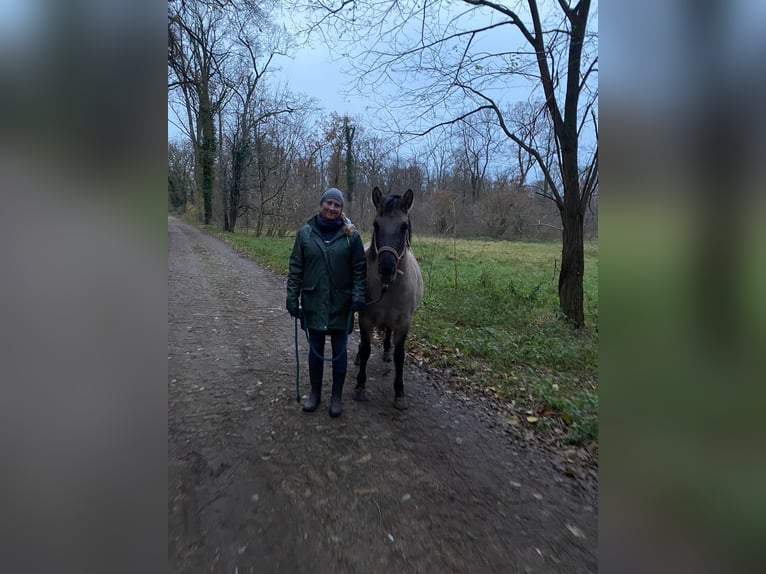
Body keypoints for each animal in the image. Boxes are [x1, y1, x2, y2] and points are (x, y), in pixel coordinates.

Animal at [356, 188, 426, 410]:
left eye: (404, 226)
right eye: (376, 225)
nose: (387, 268)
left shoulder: (404, 323)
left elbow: (399, 356)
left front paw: (399, 393)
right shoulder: (365, 318)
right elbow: (367, 348)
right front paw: (360, 386)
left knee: (387, 333)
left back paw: (386, 351)